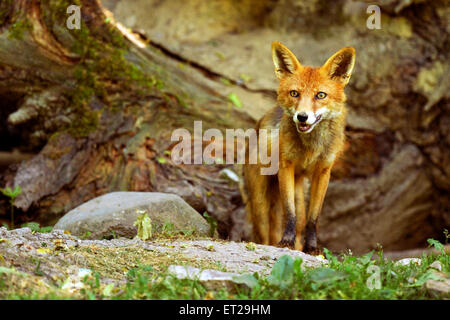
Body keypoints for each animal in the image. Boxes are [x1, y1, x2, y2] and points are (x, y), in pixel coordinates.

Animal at [243, 42, 356, 252]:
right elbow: (289, 213)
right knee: (265, 233)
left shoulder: (323, 172)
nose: (302, 117)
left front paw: (312, 248)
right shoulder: (286, 167)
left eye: (320, 95)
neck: (311, 148)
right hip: (260, 205)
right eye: (294, 93)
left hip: (299, 192)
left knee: (301, 222)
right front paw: (285, 241)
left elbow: (314, 218)